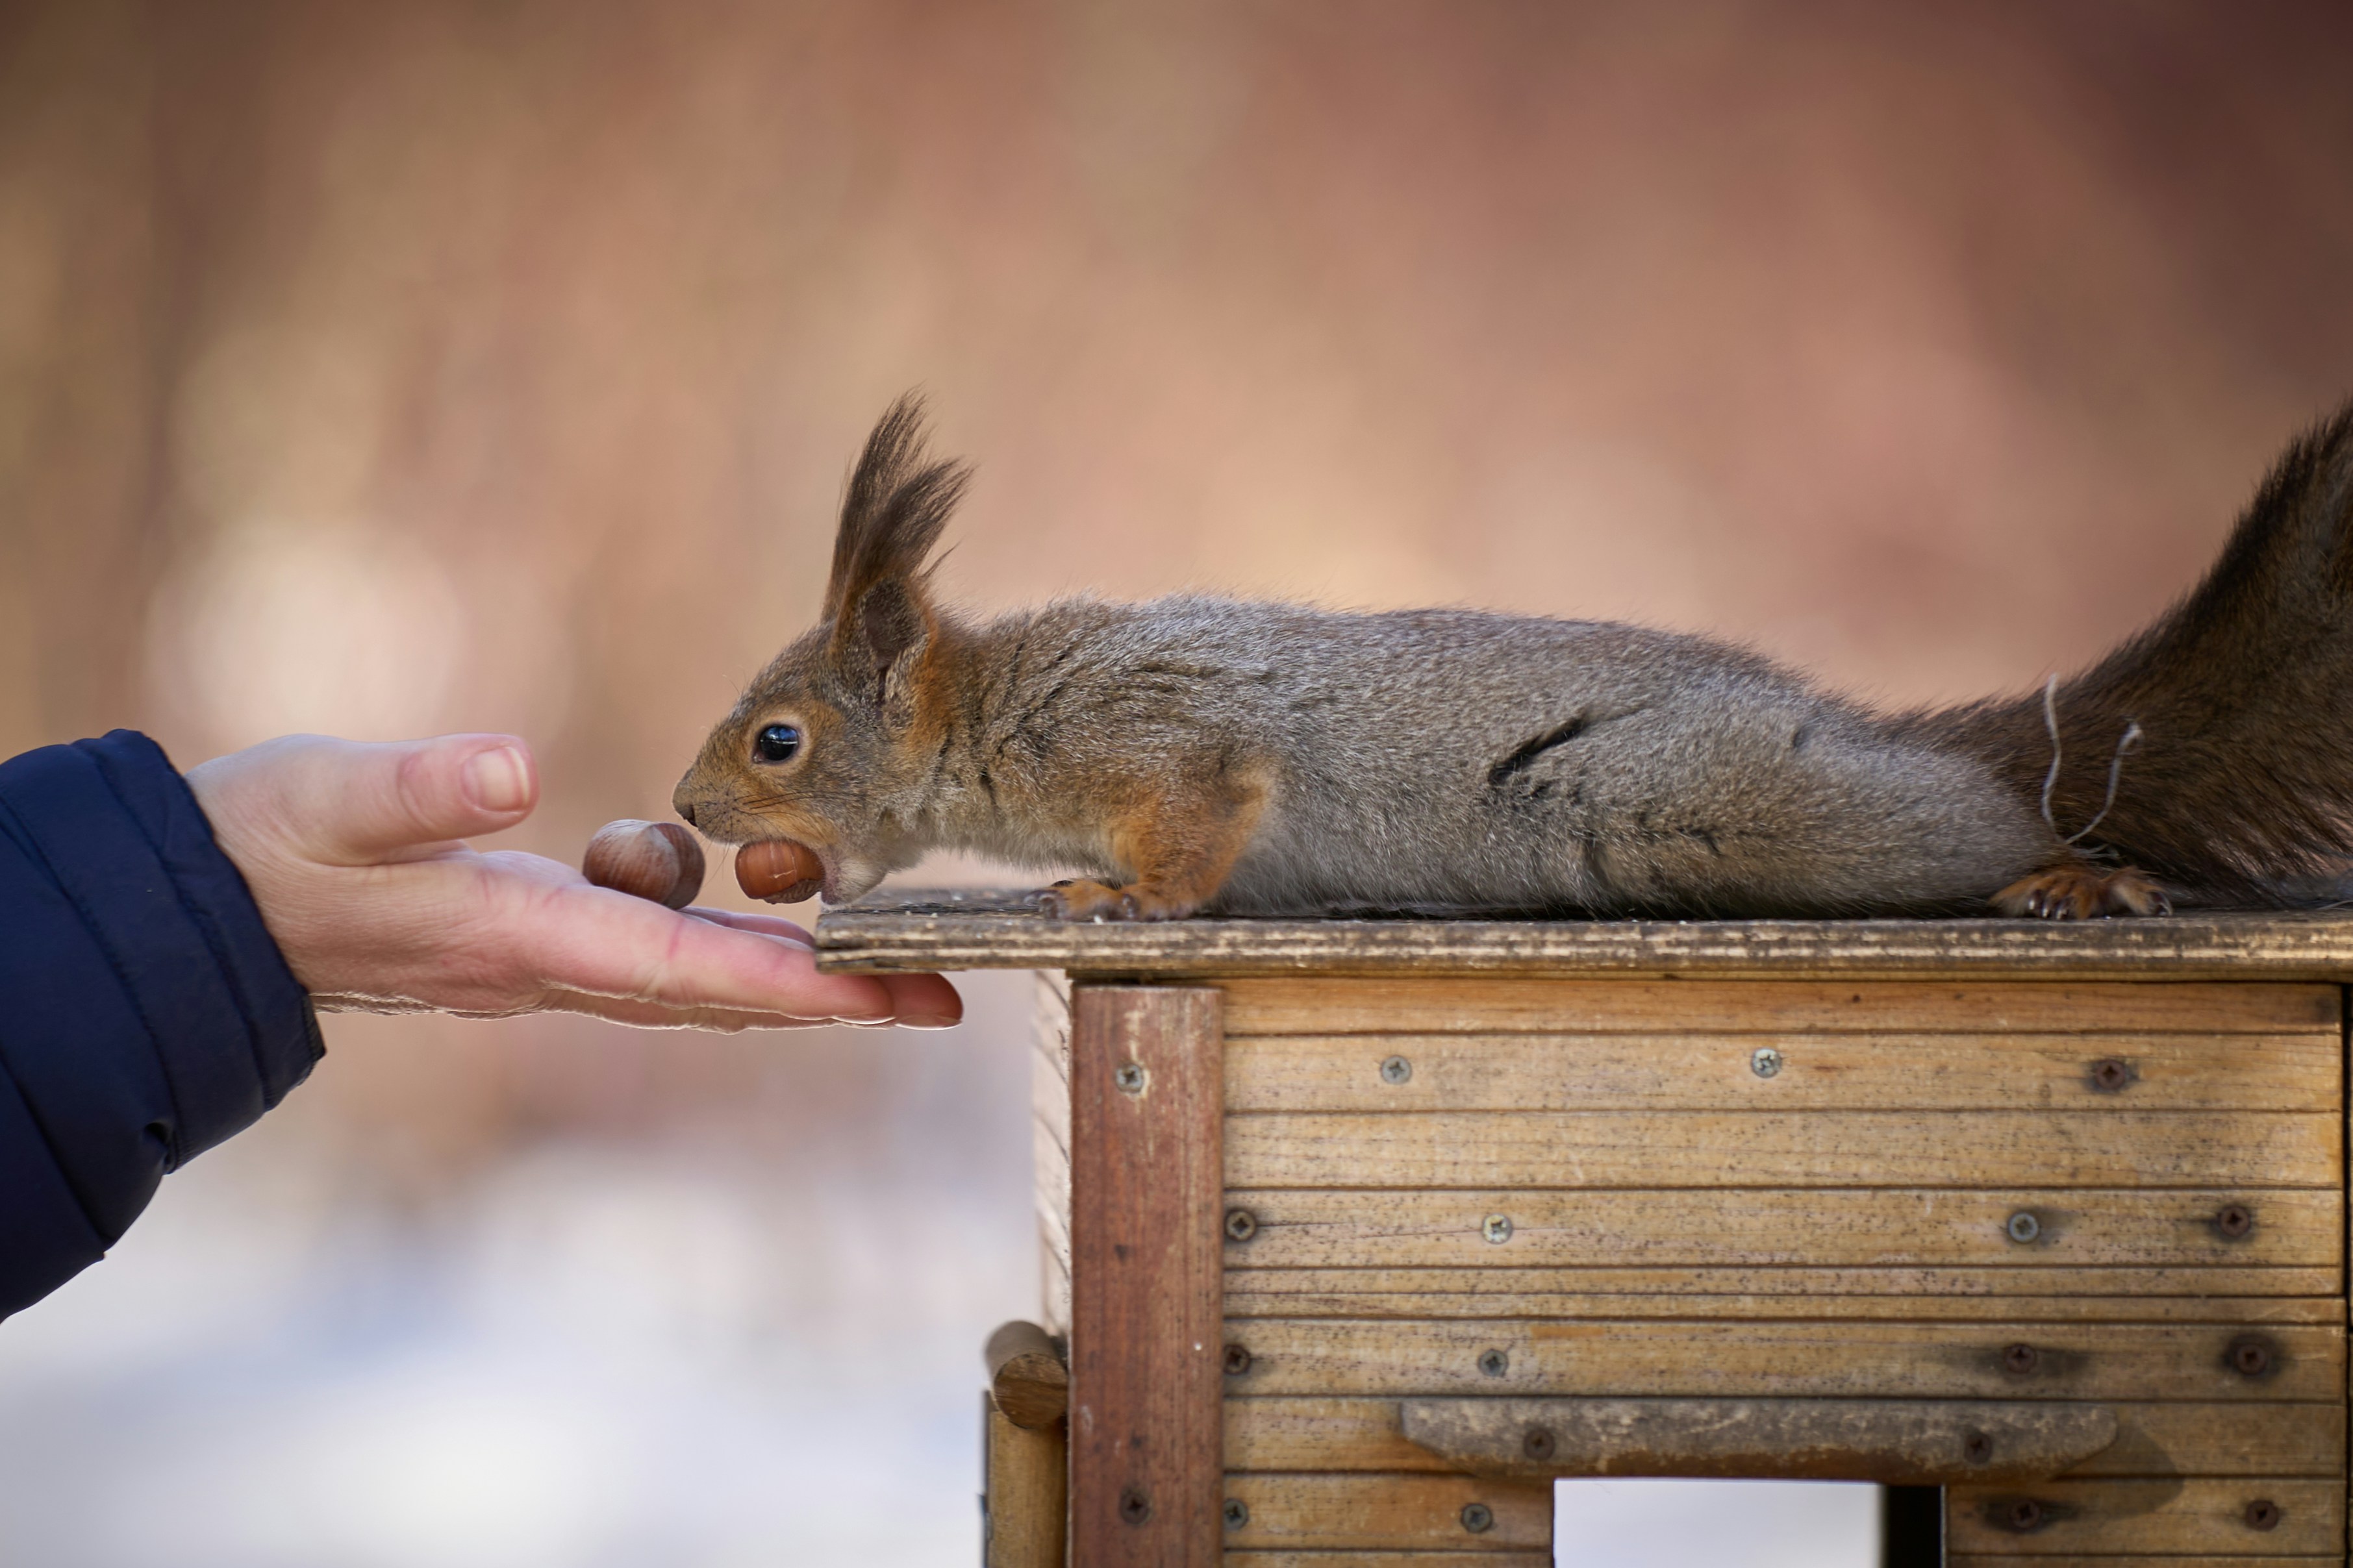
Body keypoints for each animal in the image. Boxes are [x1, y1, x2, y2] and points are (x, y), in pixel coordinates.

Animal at [673, 395, 2353, 923]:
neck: (995, 716)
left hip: (1742, 807)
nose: (687, 811)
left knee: (1986, 819)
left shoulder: (1161, 744)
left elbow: (1197, 828)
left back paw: (2067, 875)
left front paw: (1117, 899)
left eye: (776, 740)